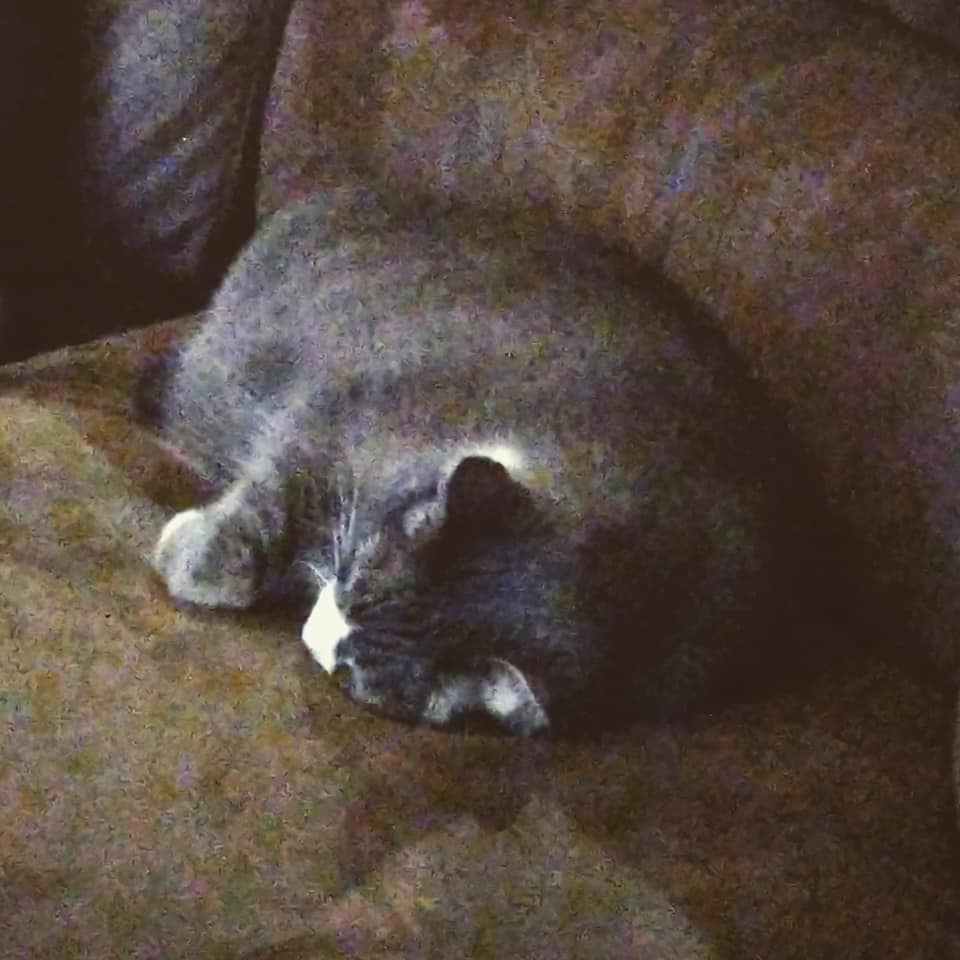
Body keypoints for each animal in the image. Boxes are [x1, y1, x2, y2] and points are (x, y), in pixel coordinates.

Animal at [137, 184, 841, 736]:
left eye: (354, 672)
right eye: (355, 577)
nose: (315, 634)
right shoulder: (334, 416)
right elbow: (271, 495)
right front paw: (191, 557)